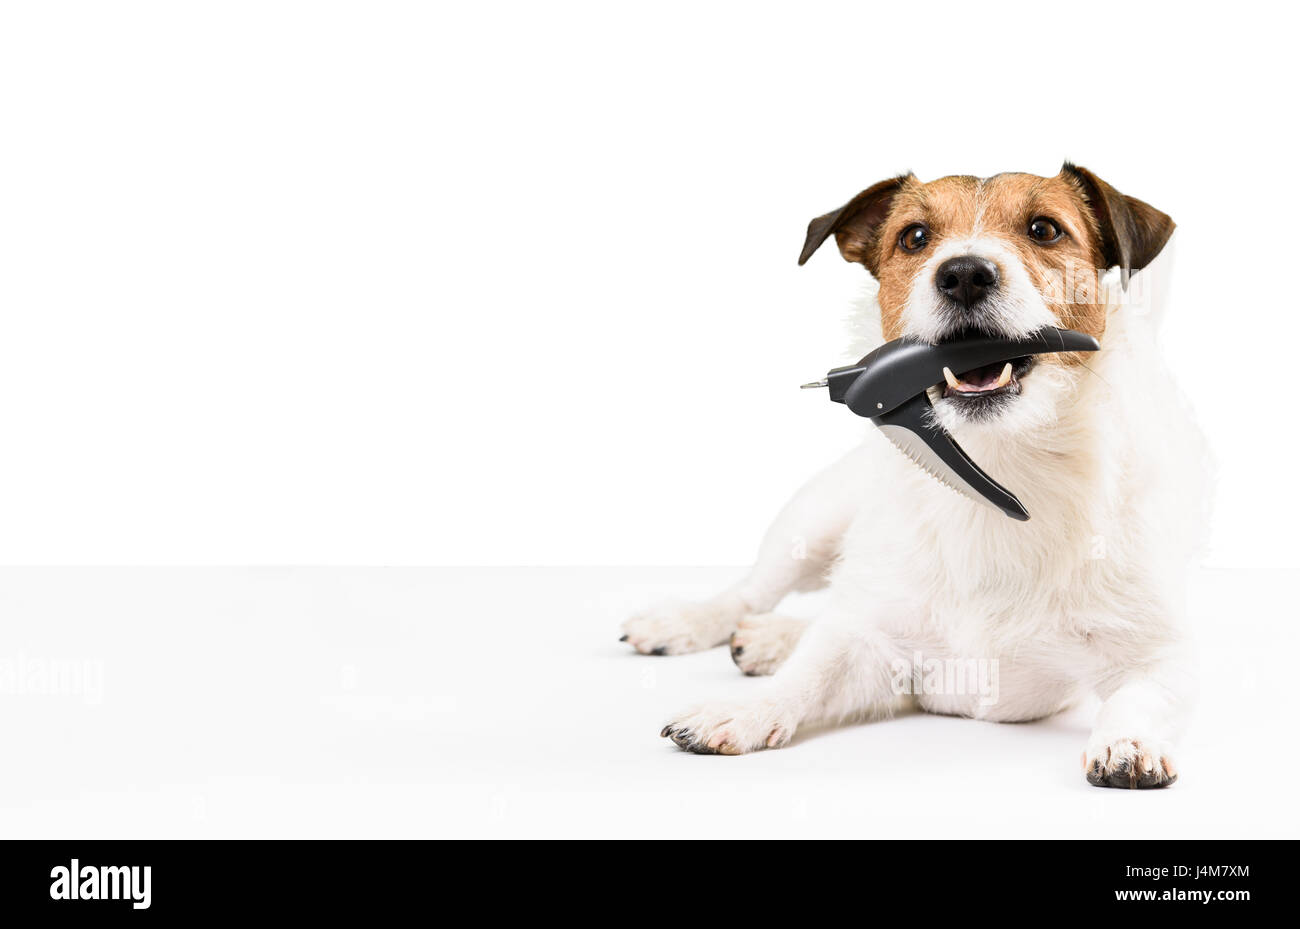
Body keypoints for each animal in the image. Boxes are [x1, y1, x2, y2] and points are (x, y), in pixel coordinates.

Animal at [618, 163, 1206, 789]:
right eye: (915, 237)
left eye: (1045, 229)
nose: (965, 274)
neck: (1001, 463)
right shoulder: (872, 645)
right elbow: (810, 673)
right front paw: (744, 710)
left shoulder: (1161, 653)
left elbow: (1142, 693)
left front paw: (1129, 741)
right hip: (814, 519)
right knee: (756, 592)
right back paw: (687, 623)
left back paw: (770, 638)